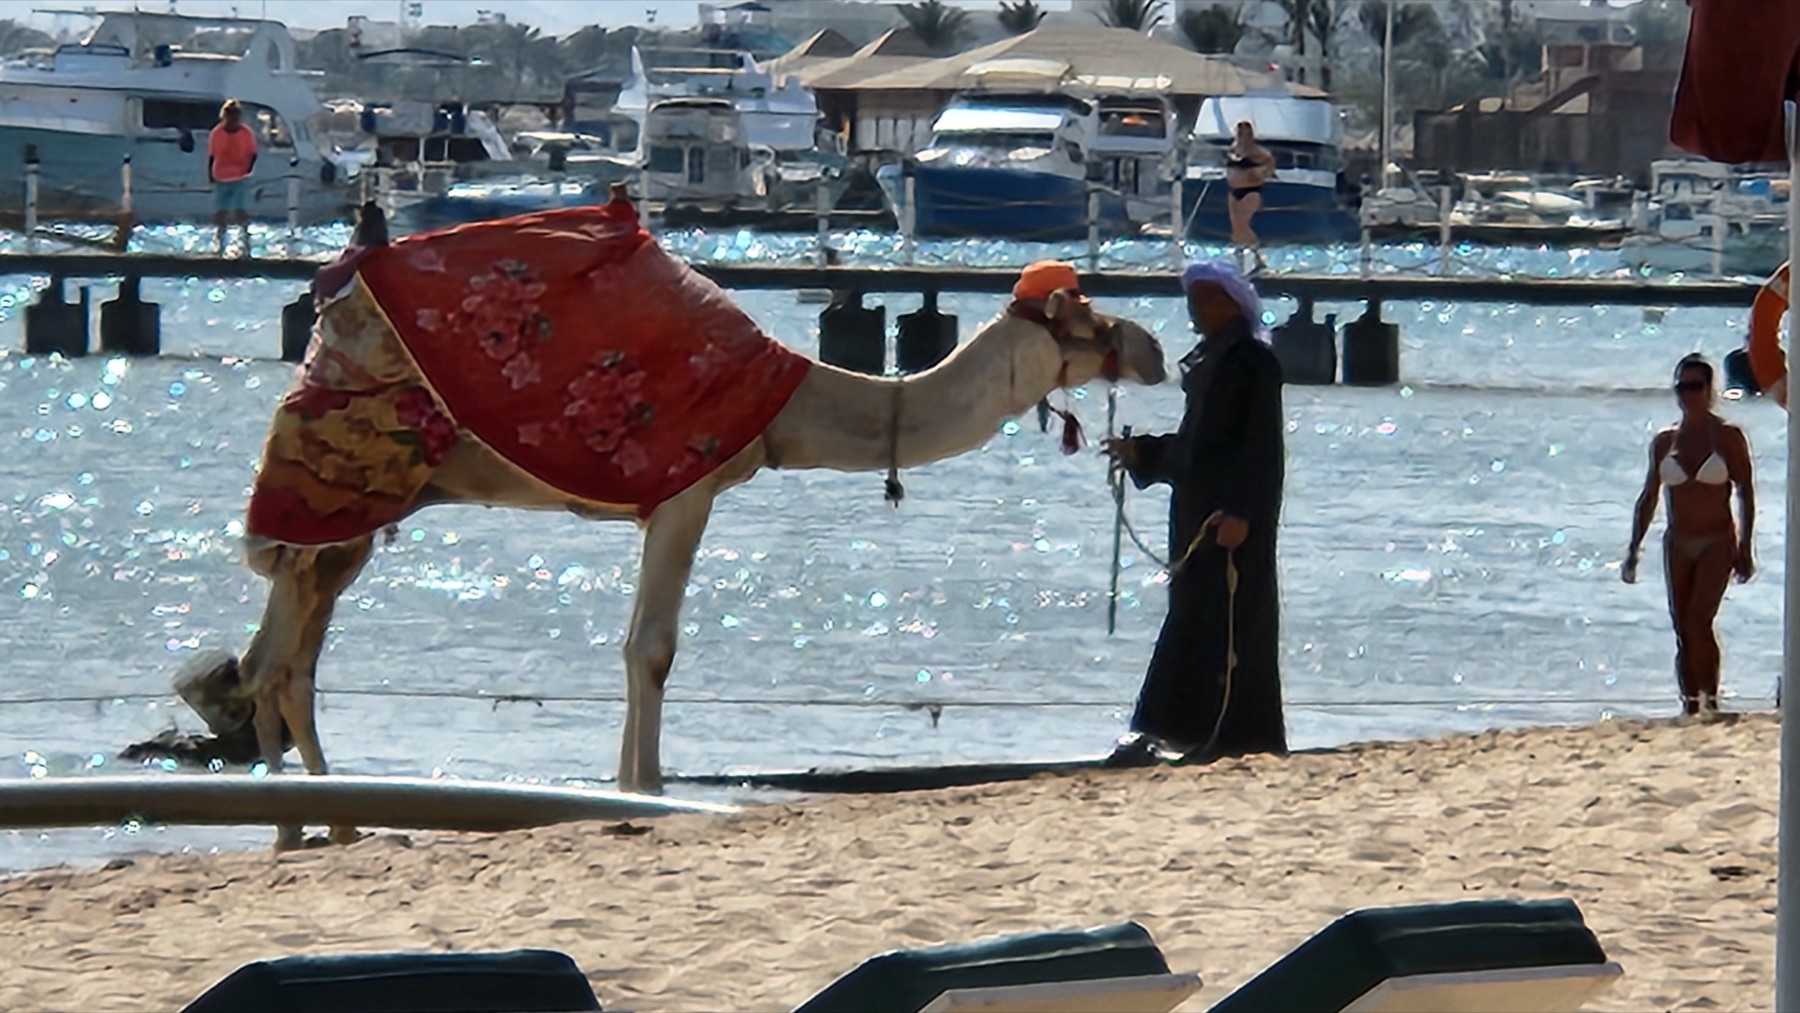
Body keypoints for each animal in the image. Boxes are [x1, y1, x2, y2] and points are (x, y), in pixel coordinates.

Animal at [189, 195, 1168, 850]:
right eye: (1083, 317)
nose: (1155, 347)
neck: (787, 401)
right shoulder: (687, 489)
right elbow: (650, 647)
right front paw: (648, 788)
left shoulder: (671, 499)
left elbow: (636, 646)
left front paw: (631, 790)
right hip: (343, 487)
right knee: (274, 659)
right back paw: (295, 831)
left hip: (346, 524)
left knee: (290, 659)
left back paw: (335, 825)